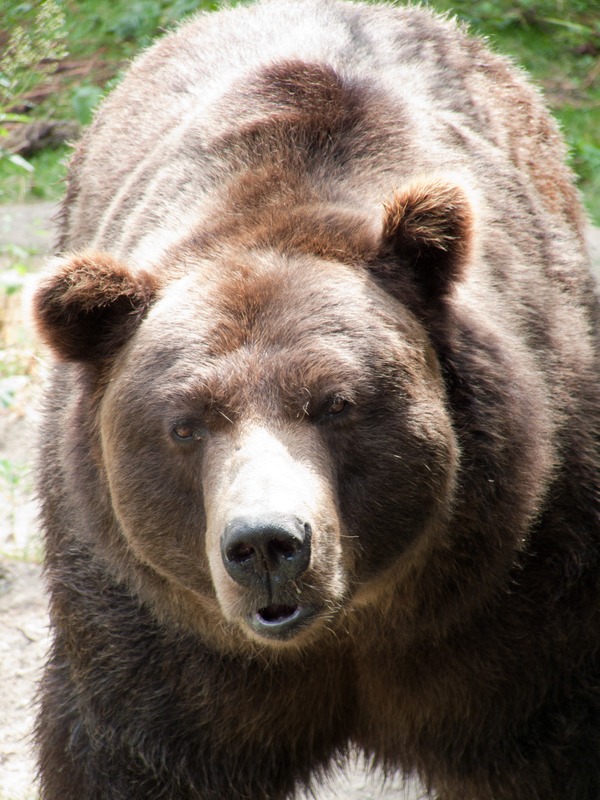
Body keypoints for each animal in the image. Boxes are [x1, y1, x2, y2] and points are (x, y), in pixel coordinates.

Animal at [31, 1, 600, 800]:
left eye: (338, 403)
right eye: (185, 425)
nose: (267, 543)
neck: (351, 628)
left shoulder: (524, 589)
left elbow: (554, 735)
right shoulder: (153, 631)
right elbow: (128, 753)